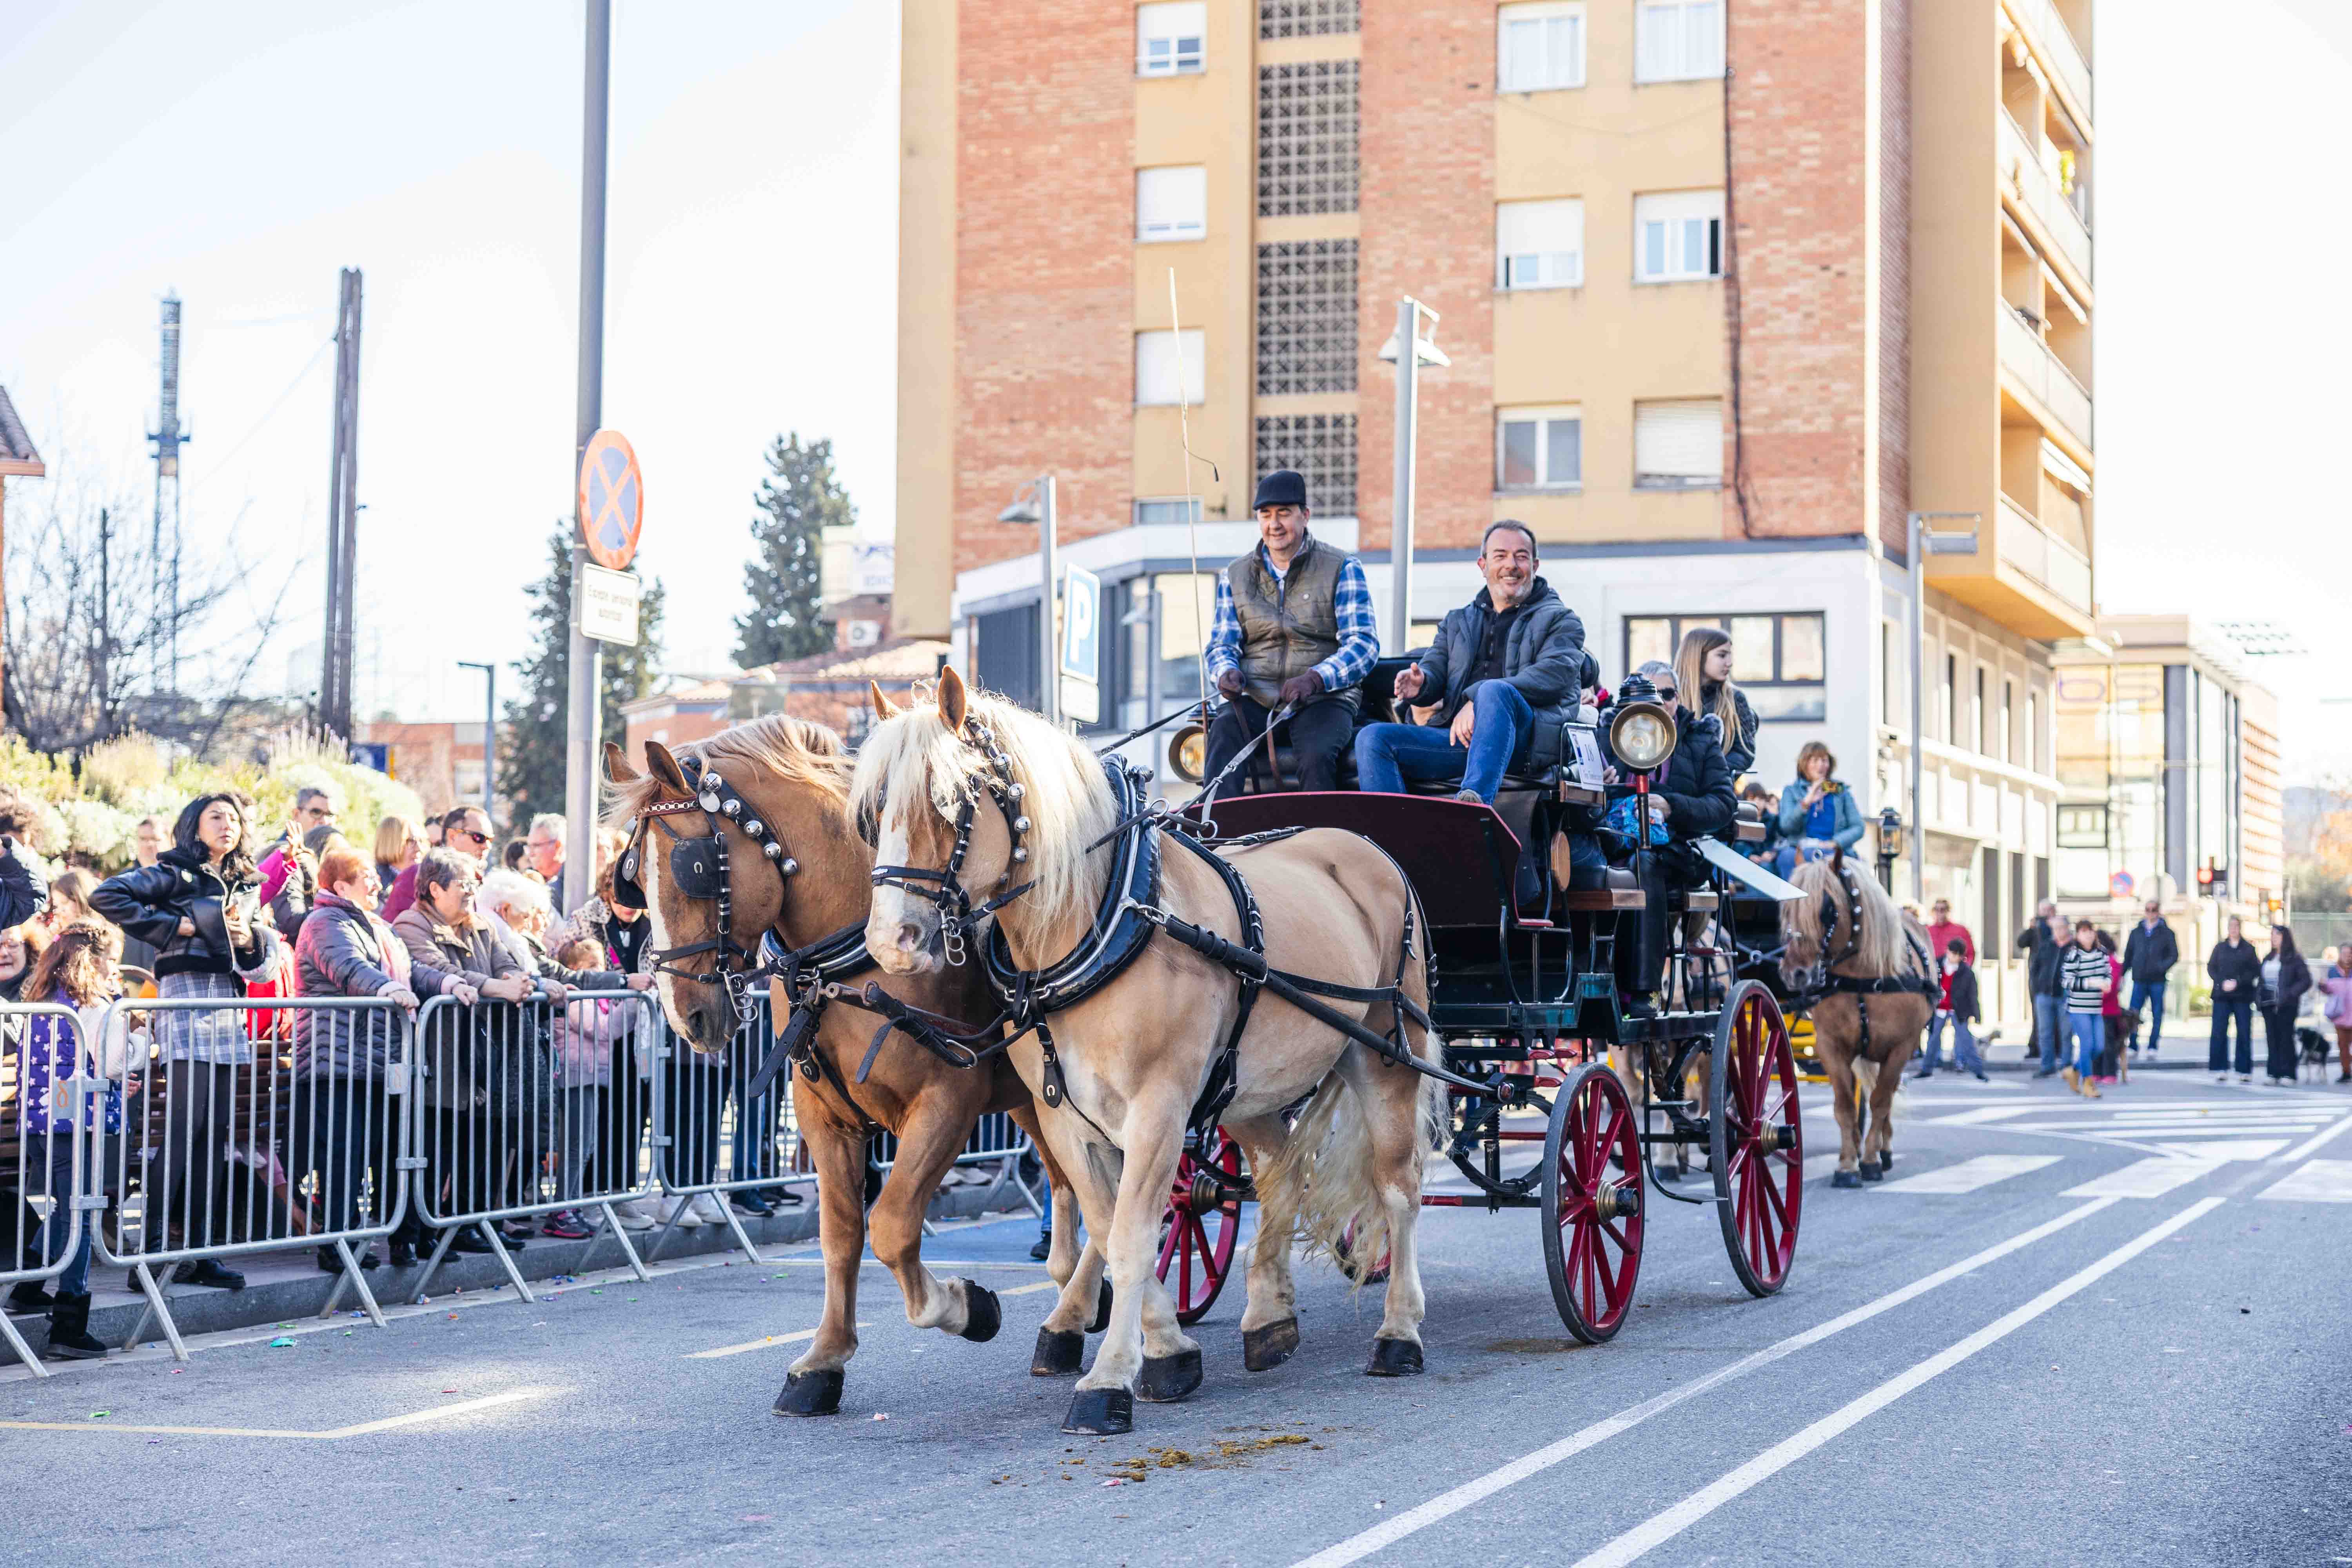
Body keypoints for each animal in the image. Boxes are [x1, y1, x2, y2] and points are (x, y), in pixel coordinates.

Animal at [593, 719, 1096, 1420]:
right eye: (631, 882)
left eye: (693, 867)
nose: (684, 1016)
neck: (848, 960)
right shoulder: (823, 1116)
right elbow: (841, 1232)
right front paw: (823, 1361)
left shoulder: (948, 1099)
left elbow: (892, 1226)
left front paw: (965, 1307)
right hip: (1033, 1099)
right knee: (1070, 1181)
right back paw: (1074, 1313)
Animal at [851, 677, 1430, 1439]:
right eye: (872, 813)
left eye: (953, 800)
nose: (891, 942)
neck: (1105, 919)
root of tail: (1364, 846)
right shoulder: (1067, 1118)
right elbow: (1112, 1225)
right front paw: (1168, 1350)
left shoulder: (1160, 1107)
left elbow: (1130, 1236)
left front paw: (1109, 1380)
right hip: (1245, 1088)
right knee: (1281, 1173)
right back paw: (1268, 1316)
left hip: (1387, 1055)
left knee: (1398, 1189)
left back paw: (1399, 1333)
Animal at [1778, 851, 1929, 1185]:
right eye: (1785, 907)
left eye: (1827, 908)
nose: (1795, 974)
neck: (1863, 978)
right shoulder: (1831, 1047)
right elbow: (1845, 1105)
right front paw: (1847, 1165)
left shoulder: (1900, 1048)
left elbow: (1881, 1101)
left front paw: (1871, 1160)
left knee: (1883, 1095)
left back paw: (1883, 1152)